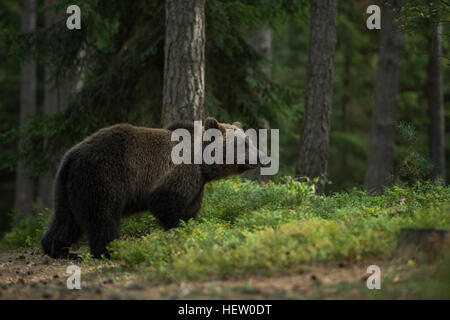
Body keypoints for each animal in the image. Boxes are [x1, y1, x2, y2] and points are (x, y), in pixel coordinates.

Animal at [43, 119, 260, 258]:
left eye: (250, 141)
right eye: (243, 143)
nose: (261, 156)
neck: (203, 165)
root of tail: (72, 155)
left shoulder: (197, 185)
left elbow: (191, 209)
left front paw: (191, 228)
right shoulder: (179, 172)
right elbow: (165, 202)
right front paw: (177, 230)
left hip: (68, 186)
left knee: (66, 219)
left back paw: (59, 250)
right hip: (103, 176)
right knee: (101, 216)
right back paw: (109, 250)